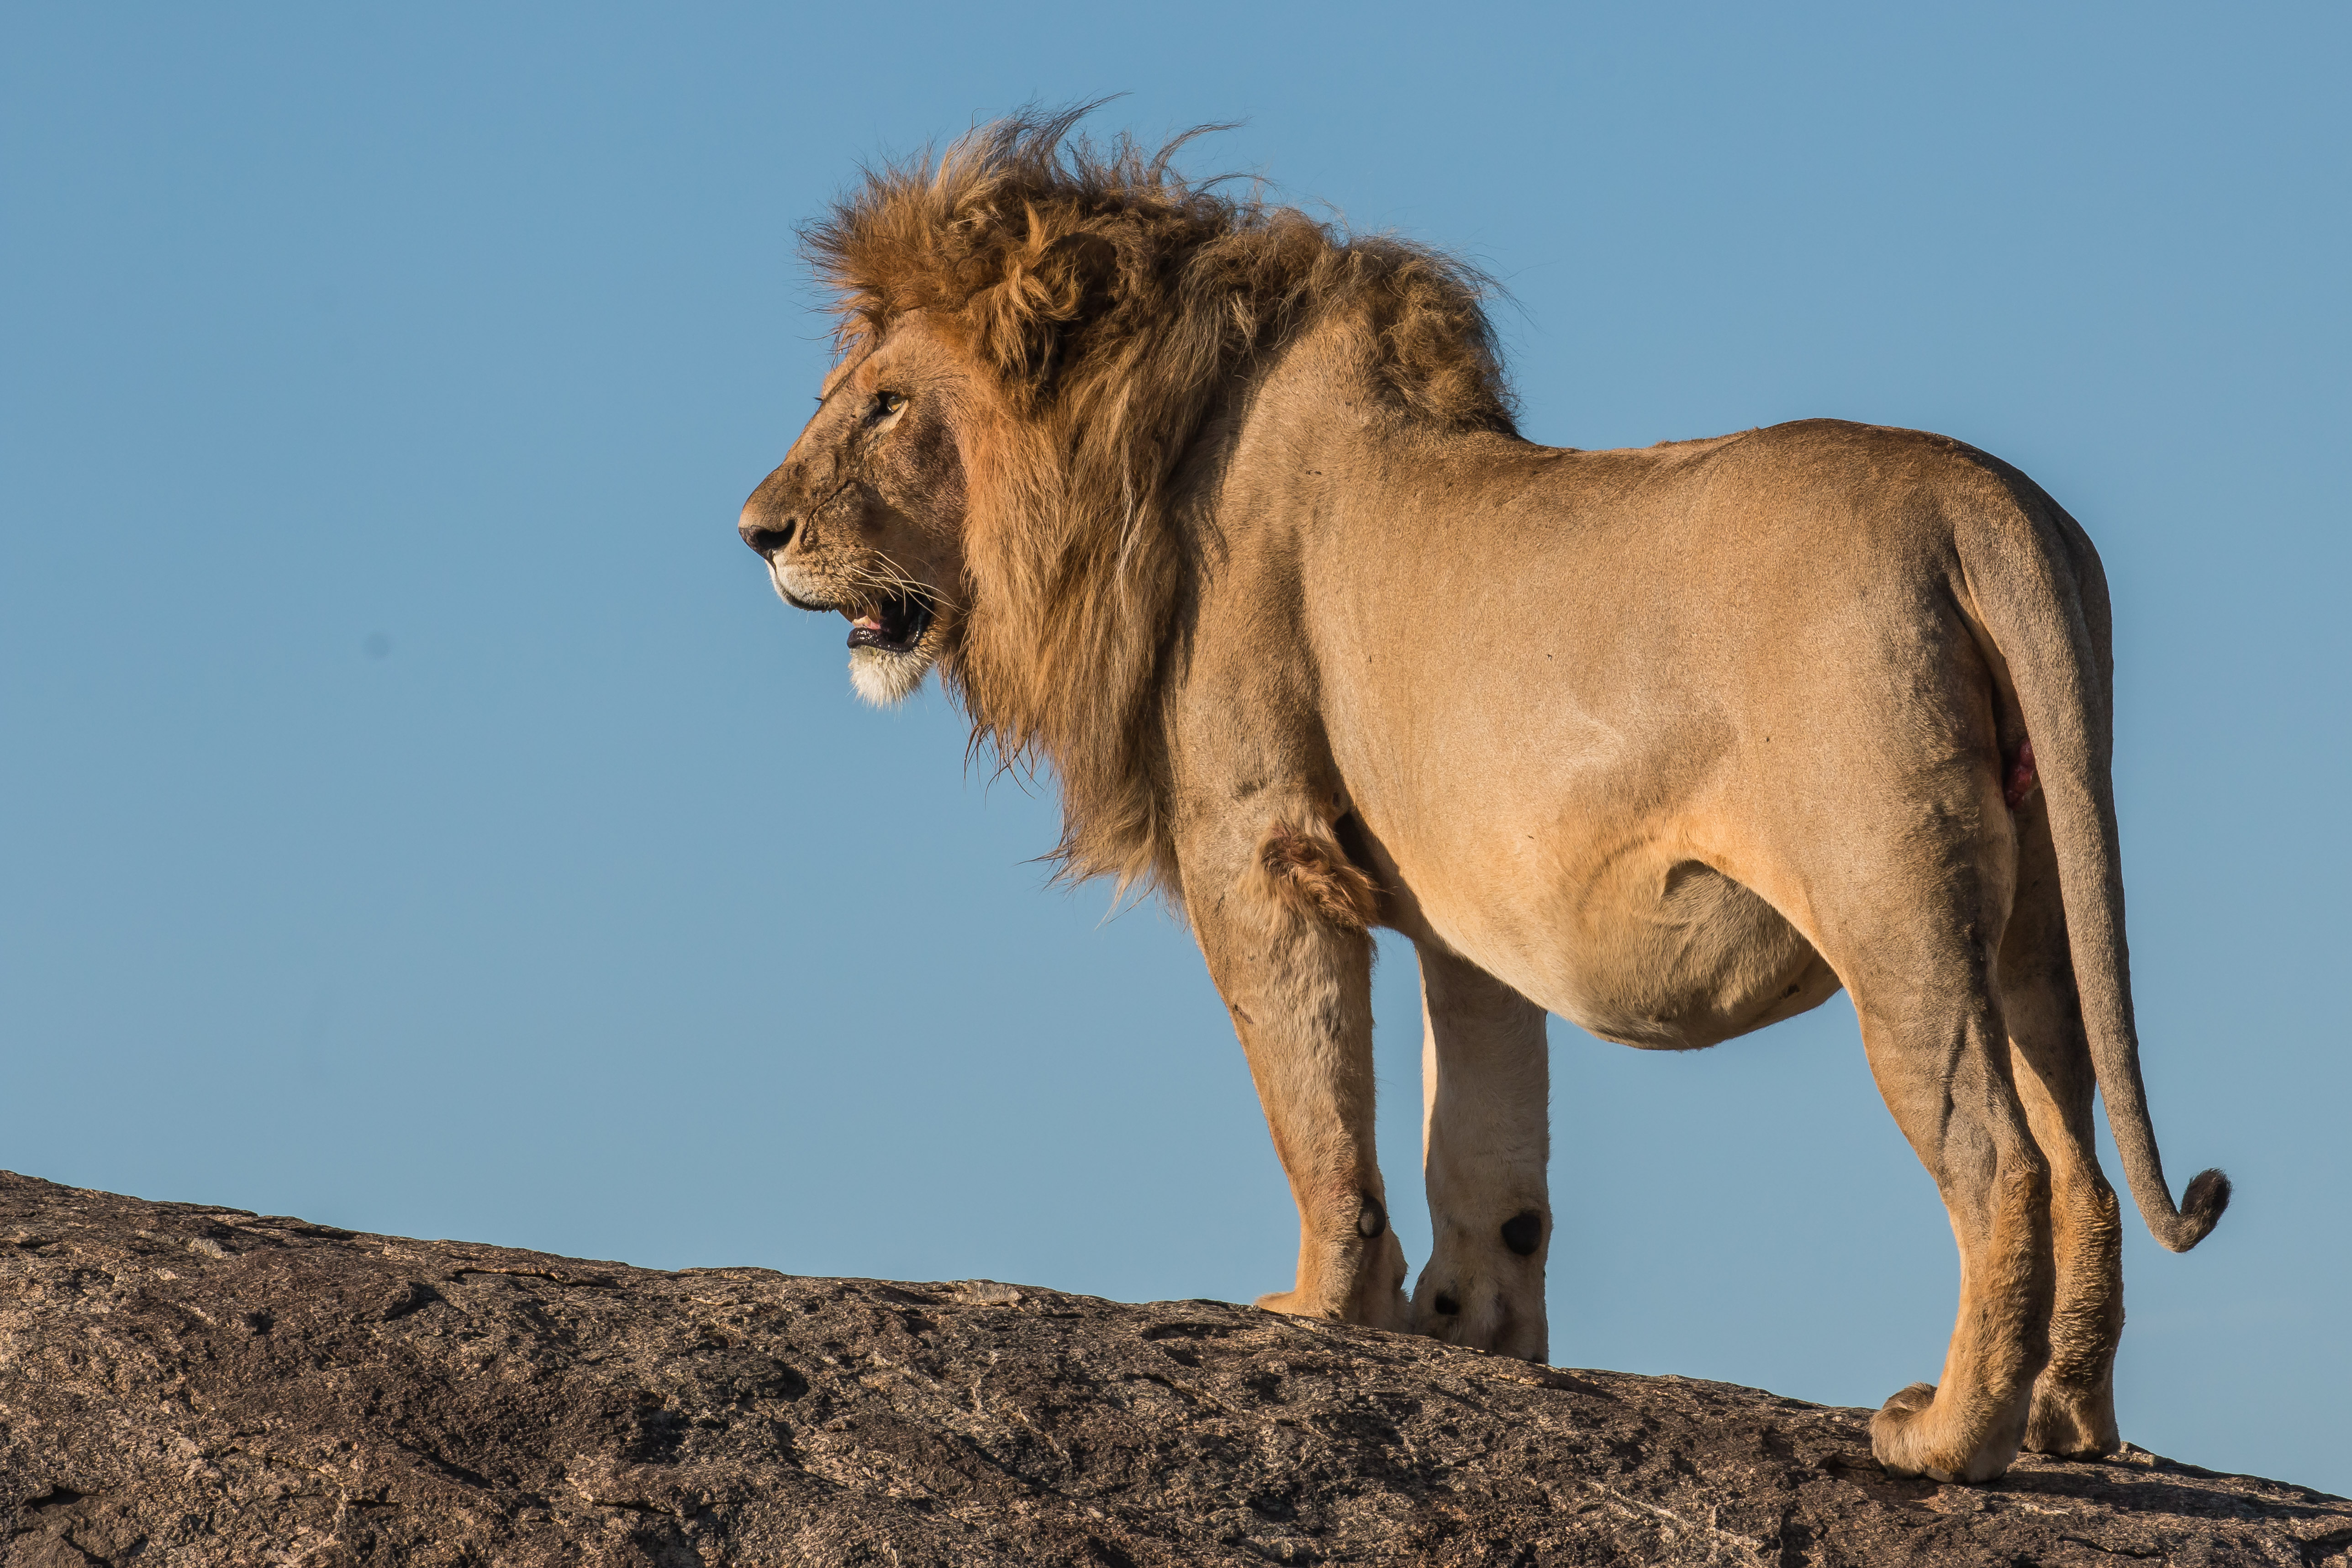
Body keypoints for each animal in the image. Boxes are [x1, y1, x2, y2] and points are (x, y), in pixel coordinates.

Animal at [733, 116, 2220, 1495]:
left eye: (884, 405)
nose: (755, 530)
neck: (1160, 453)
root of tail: (1983, 503)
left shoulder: (1255, 842)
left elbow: (1321, 1114)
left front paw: (1317, 1308)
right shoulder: (1474, 914)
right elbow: (1487, 1146)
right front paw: (1469, 1328)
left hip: (1888, 895)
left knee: (2000, 1159)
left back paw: (1945, 1438)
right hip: (2039, 911)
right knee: (2081, 1162)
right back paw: (2064, 1423)